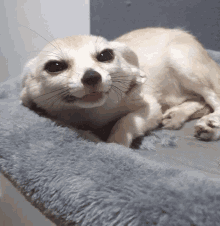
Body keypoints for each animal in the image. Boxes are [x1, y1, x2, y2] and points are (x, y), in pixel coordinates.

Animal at [20, 27, 220, 147]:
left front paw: (116, 145)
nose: (92, 76)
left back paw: (211, 125)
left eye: (105, 55)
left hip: (184, 65)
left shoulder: (150, 107)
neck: (94, 114)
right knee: (199, 100)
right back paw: (178, 115)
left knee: (213, 98)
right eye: (55, 66)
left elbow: (125, 122)